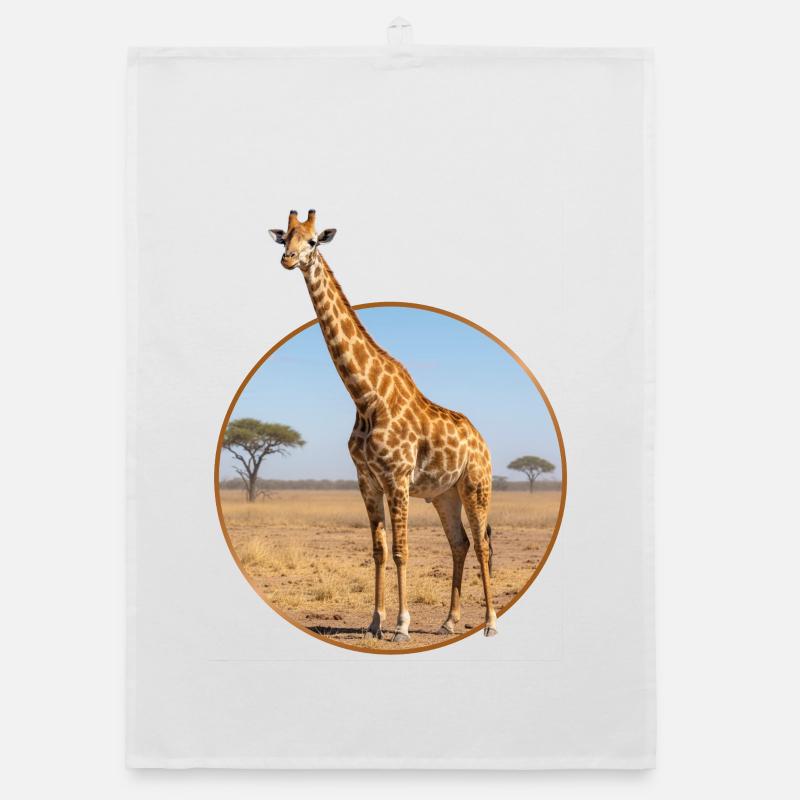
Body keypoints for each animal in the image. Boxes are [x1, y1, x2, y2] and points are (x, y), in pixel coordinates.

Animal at [268, 210, 497, 642]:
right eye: (284, 238)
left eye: (313, 242)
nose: (288, 260)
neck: (365, 397)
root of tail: (483, 442)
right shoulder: (367, 481)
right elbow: (378, 550)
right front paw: (376, 621)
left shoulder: (397, 478)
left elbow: (401, 550)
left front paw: (402, 626)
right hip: (445, 493)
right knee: (458, 543)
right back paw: (448, 621)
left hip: (476, 485)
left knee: (481, 544)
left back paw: (490, 623)